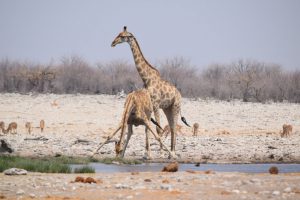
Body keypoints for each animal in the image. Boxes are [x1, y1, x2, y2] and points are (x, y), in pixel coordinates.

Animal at [110, 25, 190, 156]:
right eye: (118, 34)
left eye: (122, 36)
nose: (112, 43)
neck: (147, 79)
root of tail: (179, 94)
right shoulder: (151, 106)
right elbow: (148, 128)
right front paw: (147, 153)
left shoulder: (156, 104)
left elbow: (158, 128)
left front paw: (160, 153)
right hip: (167, 108)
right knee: (171, 126)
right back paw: (170, 153)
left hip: (175, 107)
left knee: (173, 127)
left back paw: (172, 152)